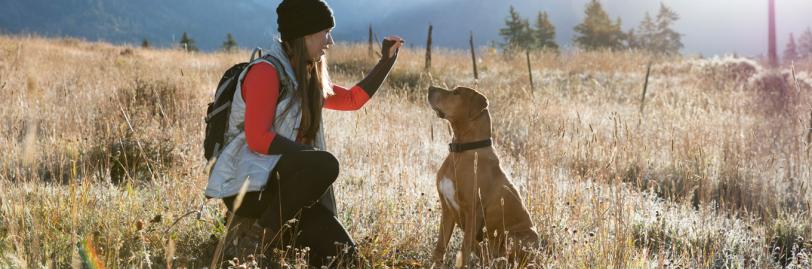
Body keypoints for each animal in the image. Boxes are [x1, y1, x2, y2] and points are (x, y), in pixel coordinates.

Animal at [428, 85, 536, 266]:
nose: (430, 88)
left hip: (515, 237)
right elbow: (440, 249)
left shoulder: (473, 211)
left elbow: (464, 251)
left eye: (456, 92)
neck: (462, 151)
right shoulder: (447, 209)